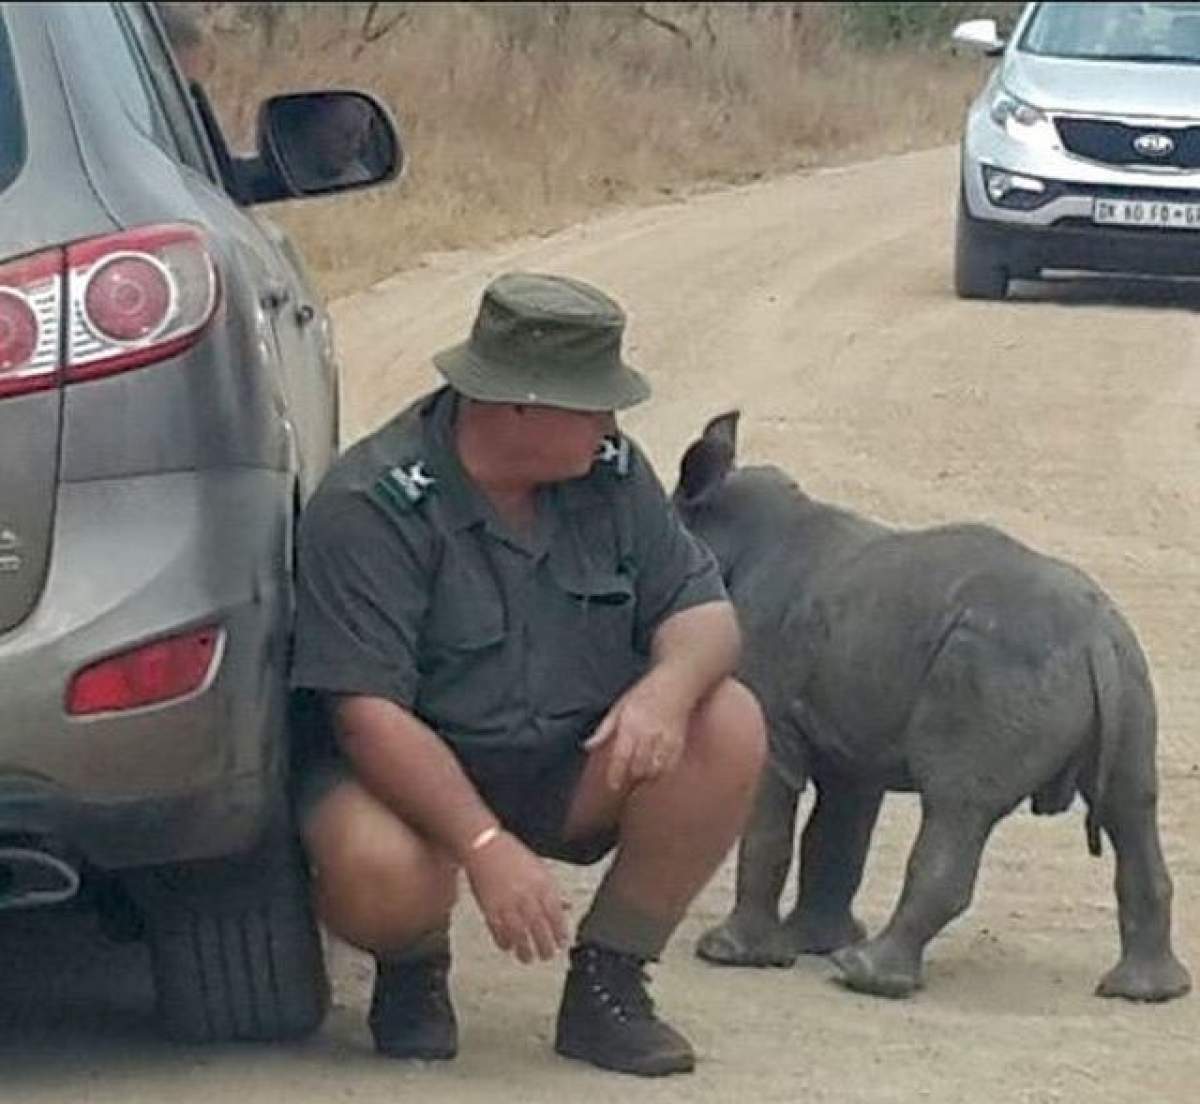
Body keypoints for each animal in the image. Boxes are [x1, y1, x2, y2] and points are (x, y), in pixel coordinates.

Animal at [676, 412, 1190, 998]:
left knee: (956, 805)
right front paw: (815, 942)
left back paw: (865, 976)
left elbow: (770, 823)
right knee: (1134, 806)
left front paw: (729, 955)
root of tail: (1094, 639)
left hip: (998, 665)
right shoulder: (851, 733)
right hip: (1128, 667)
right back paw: (1146, 991)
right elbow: (837, 832)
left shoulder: (774, 712)